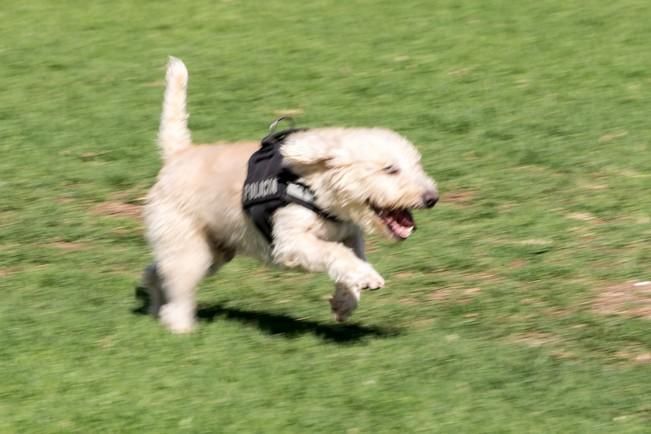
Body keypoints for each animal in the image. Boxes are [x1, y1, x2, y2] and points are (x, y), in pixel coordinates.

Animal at [141, 56, 440, 332]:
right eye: (390, 169)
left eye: (417, 165)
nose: (432, 198)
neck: (319, 193)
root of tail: (178, 154)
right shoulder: (291, 242)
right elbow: (336, 253)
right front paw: (366, 277)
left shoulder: (349, 234)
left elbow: (351, 256)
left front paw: (345, 301)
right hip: (188, 246)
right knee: (178, 287)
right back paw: (180, 327)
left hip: (212, 251)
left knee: (158, 272)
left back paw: (155, 306)